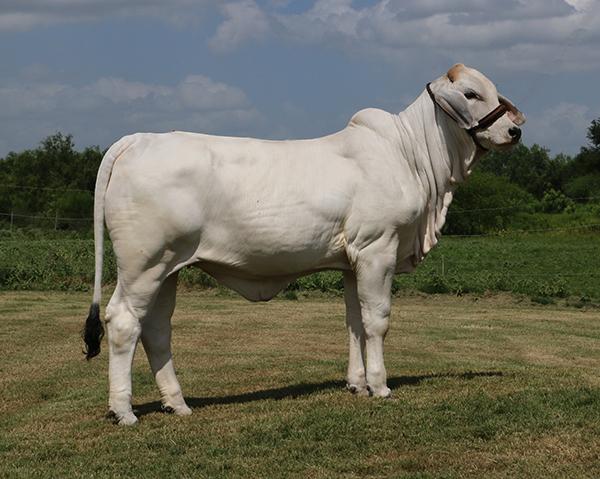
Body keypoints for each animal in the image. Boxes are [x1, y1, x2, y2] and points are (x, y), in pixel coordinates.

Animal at [83, 64, 524, 428]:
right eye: (470, 93)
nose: (515, 130)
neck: (410, 156)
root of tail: (138, 139)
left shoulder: (352, 261)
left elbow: (354, 322)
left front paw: (357, 384)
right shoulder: (378, 248)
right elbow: (377, 320)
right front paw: (380, 386)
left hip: (169, 268)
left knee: (157, 329)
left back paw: (177, 403)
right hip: (144, 264)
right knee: (124, 322)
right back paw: (123, 411)